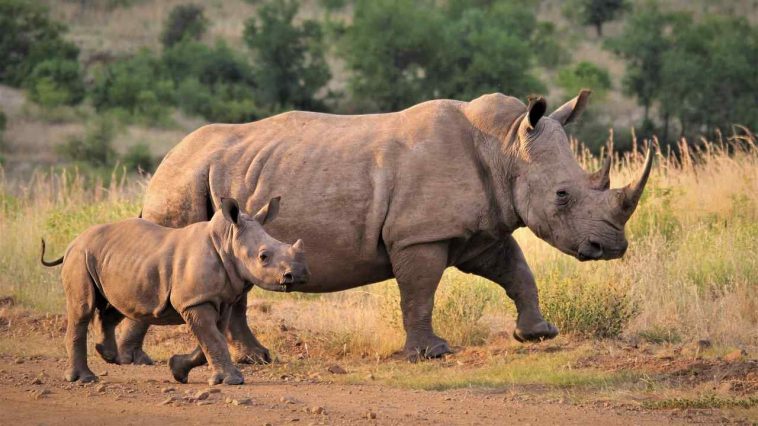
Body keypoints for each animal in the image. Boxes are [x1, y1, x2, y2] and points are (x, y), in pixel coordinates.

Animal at [41, 197, 309, 384]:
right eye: (263, 257)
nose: (299, 274)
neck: (227, 241)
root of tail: (73, 242)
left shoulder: (218, 300)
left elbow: (211, 339)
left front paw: (177, 370)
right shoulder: (195, 301)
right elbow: (213, 339)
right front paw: (234, 381)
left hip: (110, 260)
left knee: (116, 305)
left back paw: (108, 355)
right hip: (80, 257)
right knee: (83, 309)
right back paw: (85, 378)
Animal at [115, 90, 652, 363]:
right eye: (562, 195)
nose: (611, 246)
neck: (504, 146)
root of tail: (166, 159)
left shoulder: (481, 230)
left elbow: (517, 271)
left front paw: (538, 334)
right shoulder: (420, 234)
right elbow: (420, 292)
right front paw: (430, 354)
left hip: (216, 180)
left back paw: (257, 359)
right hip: (183, 182)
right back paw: (134, 359)